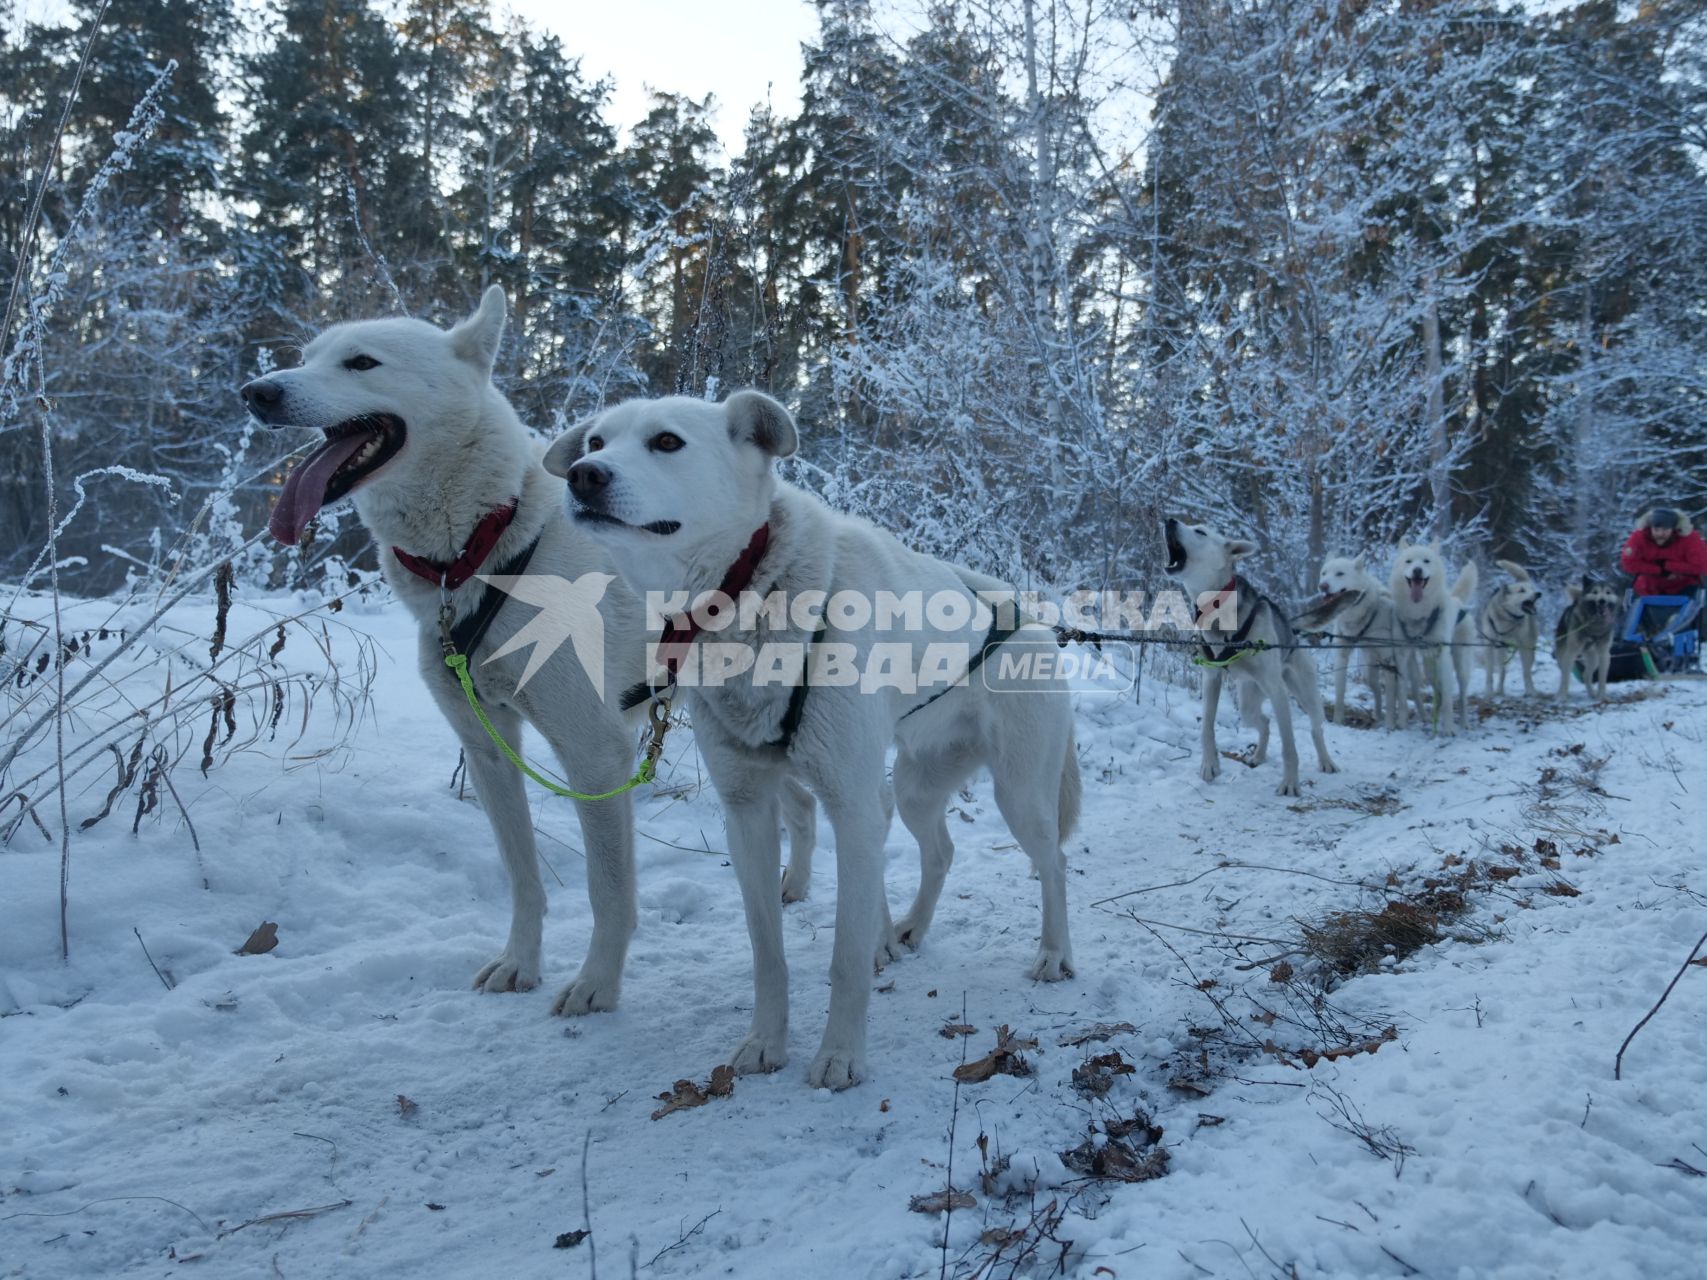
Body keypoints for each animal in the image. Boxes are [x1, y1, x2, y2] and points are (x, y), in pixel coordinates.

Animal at [237, 290, 815, 1024]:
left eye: (361, 361)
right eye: (307, 356)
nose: (257, 391)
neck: (490, 547)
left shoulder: (594, 755)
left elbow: (607, 891)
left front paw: (597, 982)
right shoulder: (488, 750)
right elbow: (523, 876)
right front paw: (521, 962)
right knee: (801, 804)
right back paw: (792, 886)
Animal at [542, 394, 1078, 1092]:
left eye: (666, 441)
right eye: (597, 441)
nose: (584, 475)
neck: (748, 594)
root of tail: (1039, 625)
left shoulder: (849, 805)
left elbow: (845, 959)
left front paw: (841, 1055)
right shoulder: (748, 812)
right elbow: (767, 954)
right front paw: (764, 1043)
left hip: (1018, 796)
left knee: (1053, 862)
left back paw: (1054, 953)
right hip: (913, 788)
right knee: (940, 850)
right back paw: (909, 927)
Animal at [1167, 515, 1338, 798]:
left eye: (1200, 532)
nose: (1169, 520)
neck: (1218, 609)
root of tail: (1291, 629)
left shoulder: (1277, 690)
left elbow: (1289, 745)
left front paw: (1290, 782)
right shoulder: (1211, 678)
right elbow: (1206, 727)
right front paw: (1209, 764)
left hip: (1305, 694)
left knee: (1316, 728)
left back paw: (1326, 761)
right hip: (1247, 701)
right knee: (1264, 721)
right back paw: (1258, 755)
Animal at [1297, 552, 1406, 730]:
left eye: (1340, 573)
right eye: (1324, 573)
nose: (1323, 586)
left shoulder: (1387, 659)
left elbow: (1390, 698)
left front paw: (1390, 725)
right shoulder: (1341, 655)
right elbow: (1340, 693)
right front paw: (1337, 721)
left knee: (1399, 690)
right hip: (1369, 673)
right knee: (1377, 691)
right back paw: (1377, 716)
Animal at [1481, 559, 1549, 703]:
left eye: (1532, 589)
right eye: (1521, 590)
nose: (1538, 593)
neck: (1507, 619)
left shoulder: (1525, 646)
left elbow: (1526, 673)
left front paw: (1531, 692)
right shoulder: (1488, 646)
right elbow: (1489, 673)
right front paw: (1488, 693)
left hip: (1528, 646)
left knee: (1525, 669)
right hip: (1500, 650)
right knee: (1502, 671)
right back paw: (1499, 691)